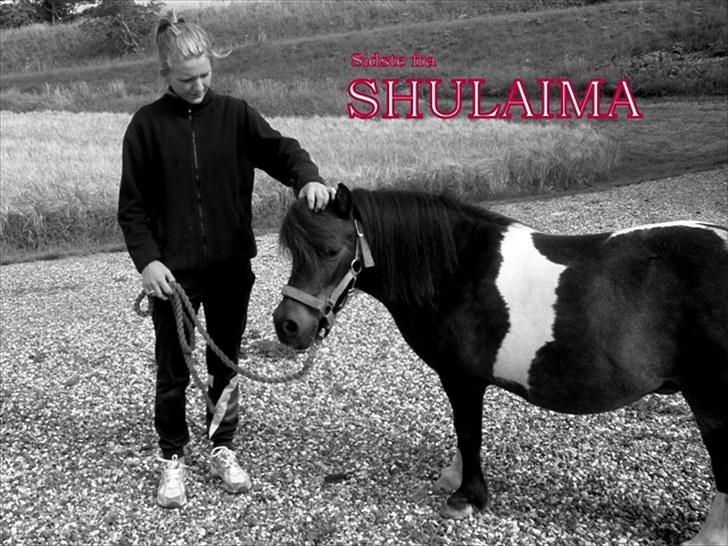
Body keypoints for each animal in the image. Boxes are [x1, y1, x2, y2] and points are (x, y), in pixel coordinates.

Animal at [272, 183, 727, 545]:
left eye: (331, 250)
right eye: (294, 253)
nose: (287, 325)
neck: (457, 270)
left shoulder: (462, 379)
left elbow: (468, 432)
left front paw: (466, 497)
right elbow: (463, 434)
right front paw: (455, 476)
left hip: (710, 400)